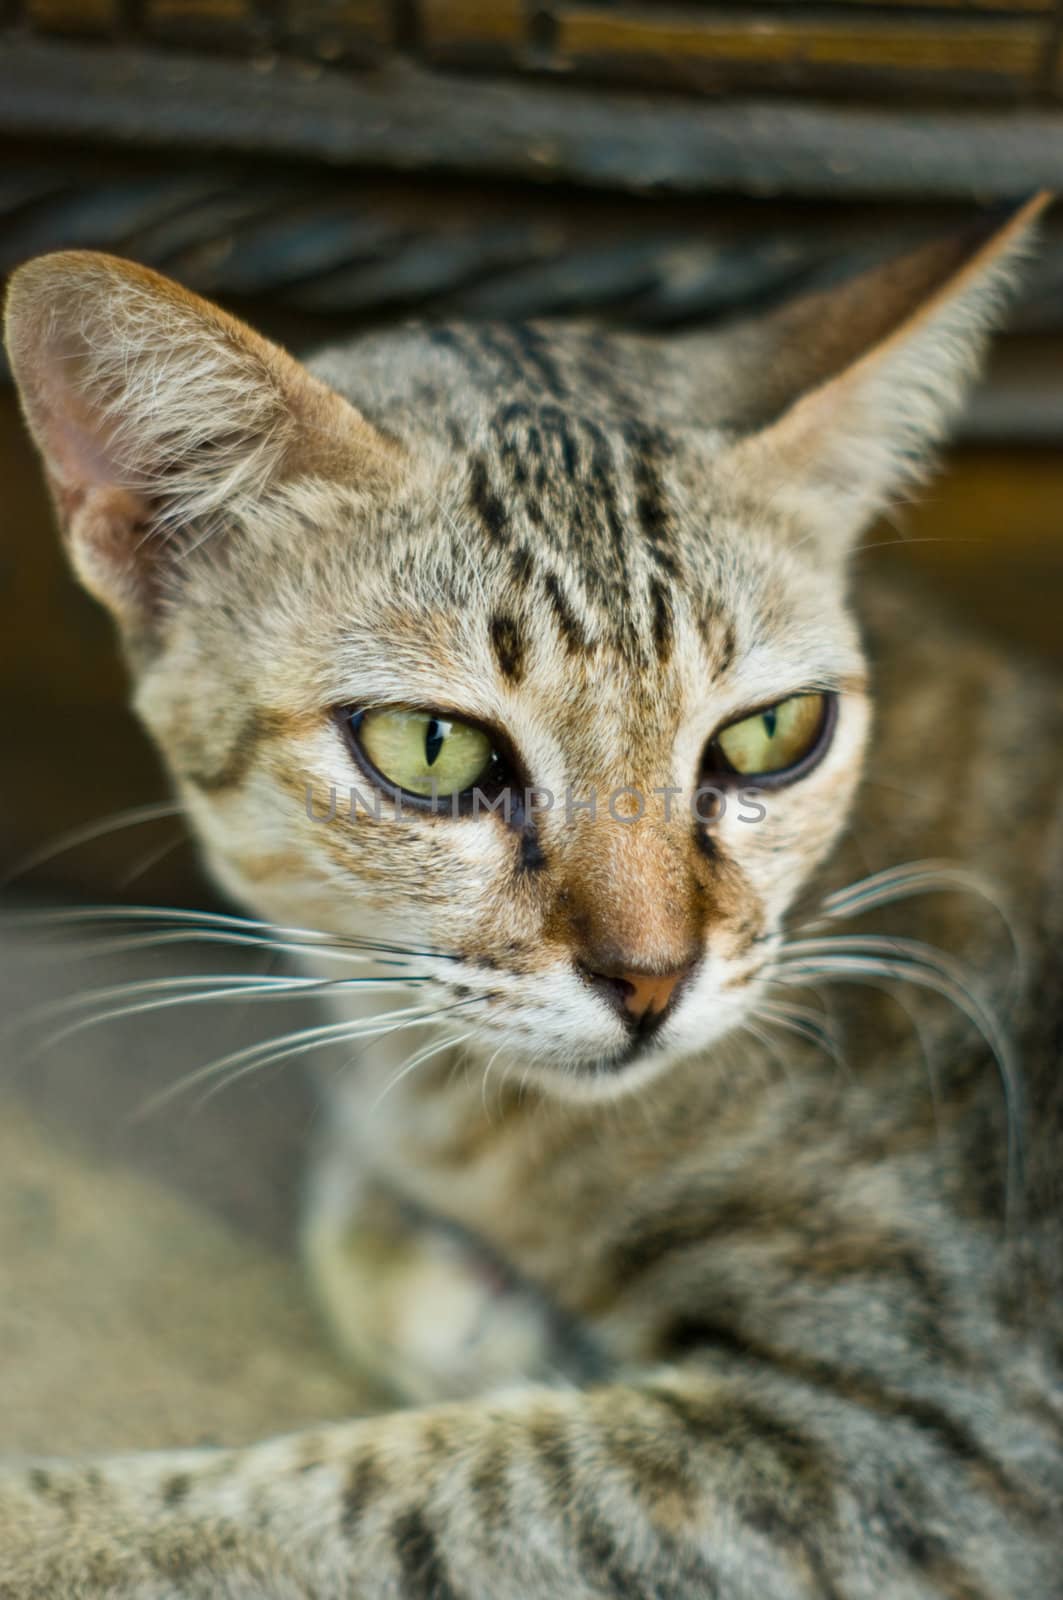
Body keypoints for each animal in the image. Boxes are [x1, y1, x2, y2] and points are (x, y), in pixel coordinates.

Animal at [2, 193, 1063, 1593]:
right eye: (430, 749)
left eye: (771, 732)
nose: (653, 979)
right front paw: (469, 1294)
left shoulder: (935, 1439)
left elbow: (400, 1498)